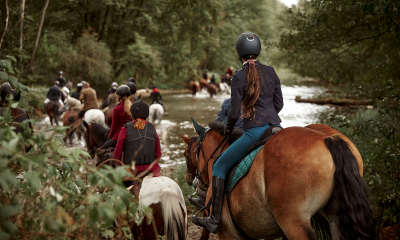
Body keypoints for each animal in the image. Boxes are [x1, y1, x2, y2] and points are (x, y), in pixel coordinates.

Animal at [180, 122, 376, 240]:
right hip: (335, 218)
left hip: (293, 222)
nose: (190, 179)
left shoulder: (228, 233)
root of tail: (327, 138)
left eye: (187, 154)